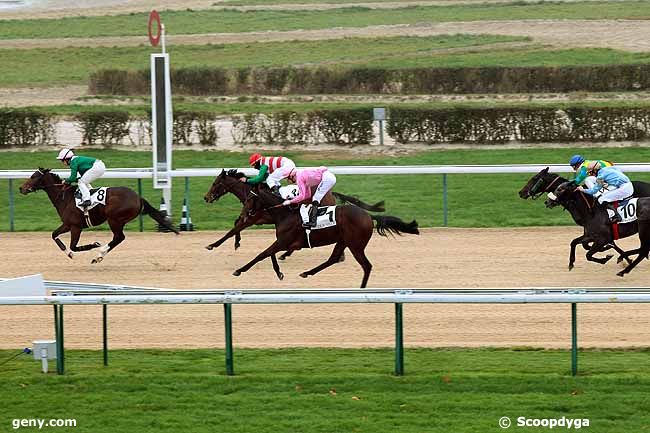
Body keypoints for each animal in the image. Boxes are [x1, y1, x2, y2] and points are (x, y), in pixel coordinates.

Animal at [20, 167, 177, 262]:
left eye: (33, 177)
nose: (21, 188)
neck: (64, 198)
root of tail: (138, 197)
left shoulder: (76, 226)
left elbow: (74, 246)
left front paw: (94, 244)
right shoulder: (67, 224)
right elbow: (54, 235)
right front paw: (68, 253)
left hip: (114, 219)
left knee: (119, 237)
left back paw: (99, 255)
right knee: (118, 238)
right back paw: (99, 255)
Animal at [230, 185, 418, 286]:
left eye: (249, 199)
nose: (243, 216)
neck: (285, 214)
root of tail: (369, 216)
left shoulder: (284, 241)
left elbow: (263, 254)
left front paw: (239, 270)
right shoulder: (285, 242)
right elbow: (270, 254)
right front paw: (279, 273)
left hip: (355, 245)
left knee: (367, 266)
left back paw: (362, 287)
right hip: (343, 241)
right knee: (333, 259)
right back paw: (307, 273)